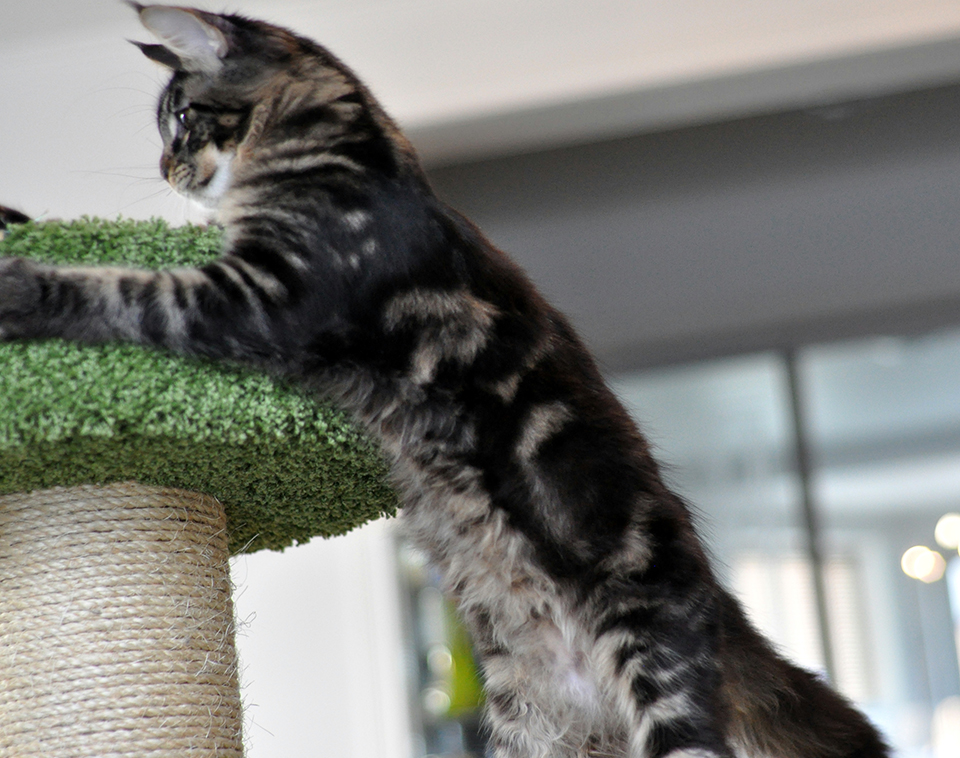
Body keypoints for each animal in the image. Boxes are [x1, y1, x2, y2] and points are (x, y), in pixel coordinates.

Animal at [0, 7, 892, 758]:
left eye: (182, 118)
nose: (166, 167)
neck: (358, 156)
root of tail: (723, 606)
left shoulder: (257, 295)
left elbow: (122, 286)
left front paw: (24, 282)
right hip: (528, 729)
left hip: (657, 675)